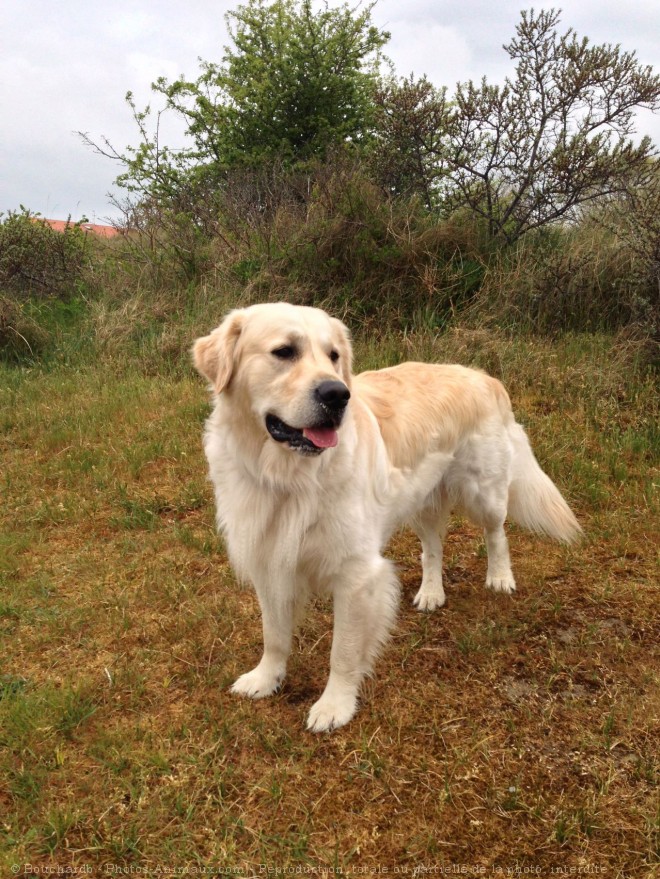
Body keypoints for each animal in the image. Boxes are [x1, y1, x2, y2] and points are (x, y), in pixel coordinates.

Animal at [193, 306, 580, 732]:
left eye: (333, 356)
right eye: (284, 351)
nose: (338, 395)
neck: (288, 476)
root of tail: (483, 375)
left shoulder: (356, 574)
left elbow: (343, 651)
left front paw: (335, 706)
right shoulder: (270, 561)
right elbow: (274, 635)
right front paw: (265, 678)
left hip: (484, 492)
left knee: (497, 533)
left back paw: (499, 578)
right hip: (420, 500)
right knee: (432, 549)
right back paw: (431, 593)